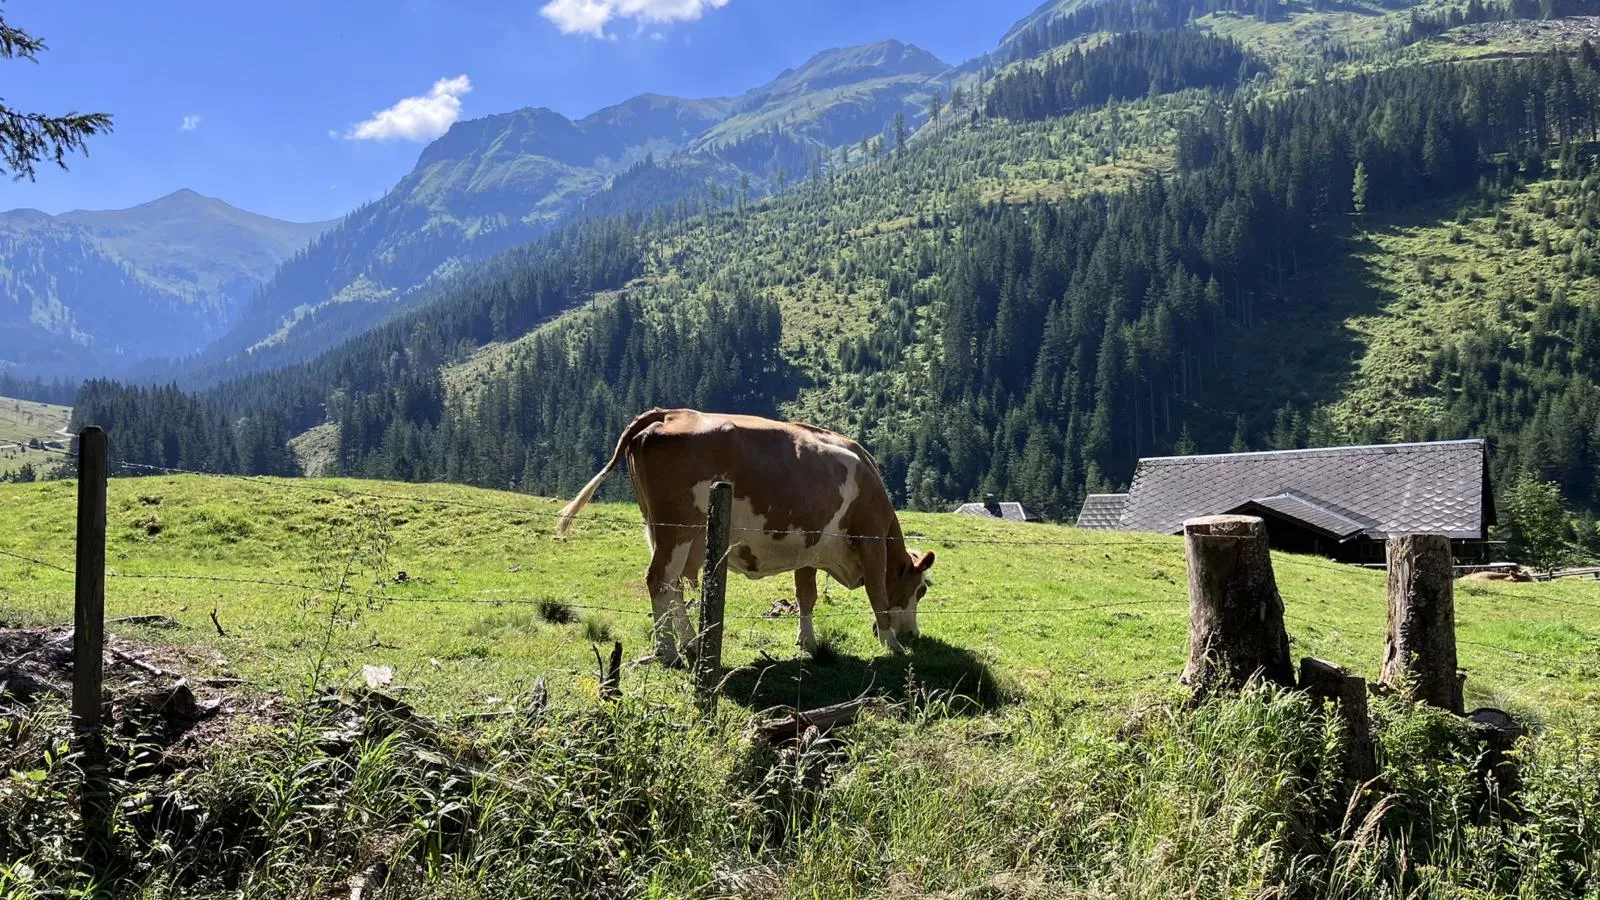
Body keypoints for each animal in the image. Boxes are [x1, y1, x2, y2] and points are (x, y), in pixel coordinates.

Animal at [556, 406, 934, 666]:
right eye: (921, 590)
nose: (914, 634)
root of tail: (670, 413)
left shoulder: (808, 548)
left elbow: (807, 596)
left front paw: (808, 642)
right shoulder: (871, 541)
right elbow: (878, 594)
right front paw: (892, 644)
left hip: (666, 531)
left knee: (673, 585)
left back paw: (690, 644)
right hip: (677, 529)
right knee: (659, 580)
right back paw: (669, 652)